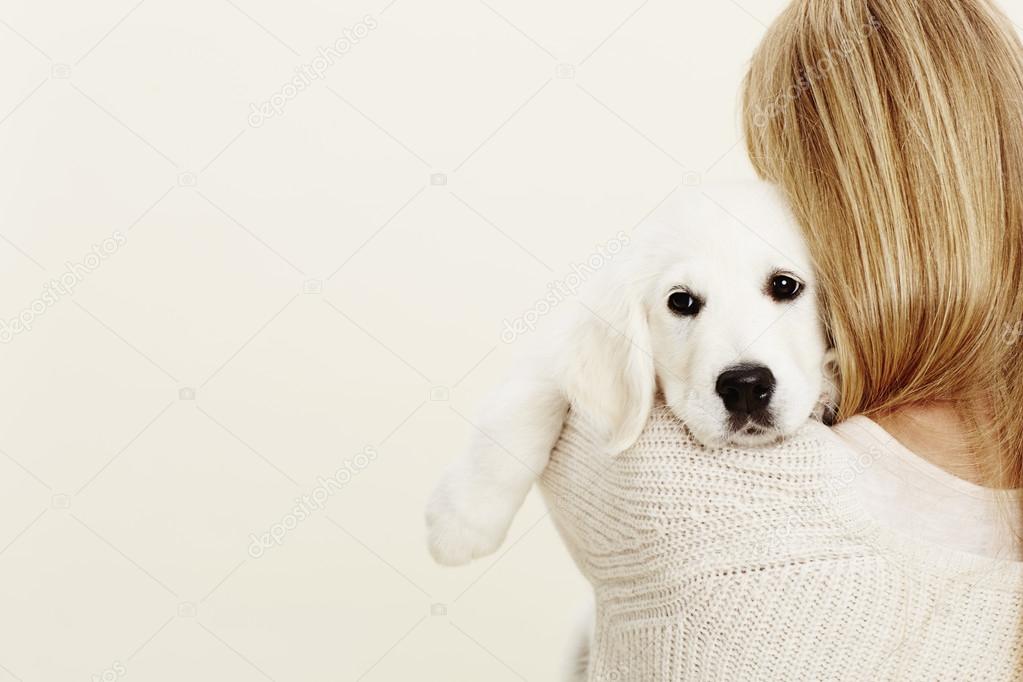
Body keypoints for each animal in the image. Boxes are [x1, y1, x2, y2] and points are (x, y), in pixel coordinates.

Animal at [423, 179, 830, 564]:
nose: (744, 387)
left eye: (785, 284)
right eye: (681, 301)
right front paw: (465, 519)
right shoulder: (553, 346)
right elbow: (523, 406)